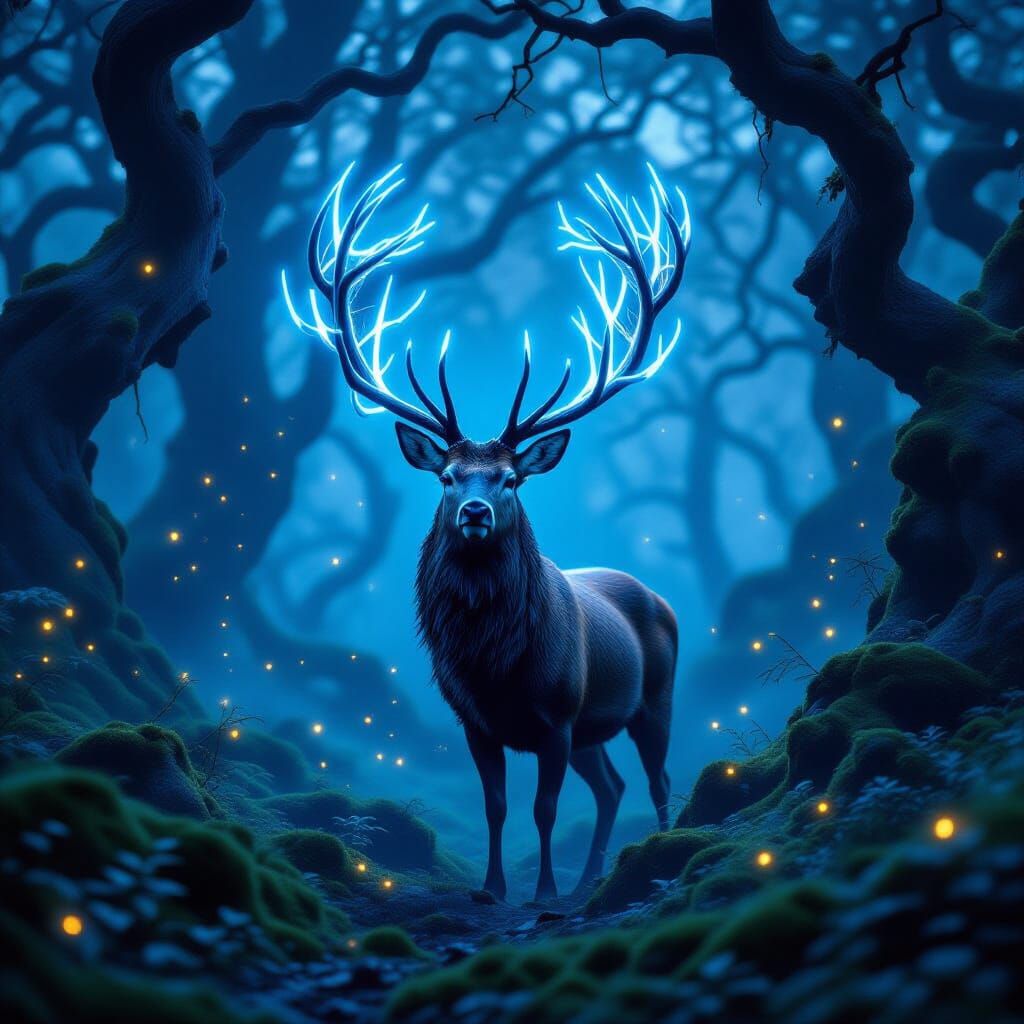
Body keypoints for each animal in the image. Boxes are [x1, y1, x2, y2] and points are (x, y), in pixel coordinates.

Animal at [284, 163, 689, 902]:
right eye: (447, 476)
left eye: (510, 480)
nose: (475, 512)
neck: (496, 666)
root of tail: (658, 596)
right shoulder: (474, 721)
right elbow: (497, 806)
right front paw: (494, 888)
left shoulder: (559, 715)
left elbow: (544, 807)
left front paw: (545, 894)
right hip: (596, 729)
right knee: (612, 786)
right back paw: (591, 881)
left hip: (654, 698)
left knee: (654, 777)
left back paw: (650, 857)